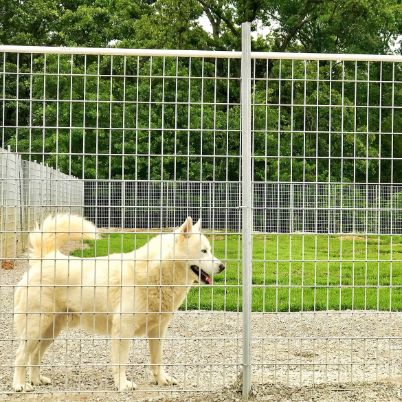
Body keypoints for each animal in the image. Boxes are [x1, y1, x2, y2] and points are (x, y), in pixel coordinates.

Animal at [12, 215, 225, 392]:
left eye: (210, 251)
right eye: (203, 251)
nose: (223, 266)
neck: (156, 274)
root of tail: (46, 258)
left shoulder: (157, 332)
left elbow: (157, 360)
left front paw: (161, 380)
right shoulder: (123, 331)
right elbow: (121, 362)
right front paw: (123, 385)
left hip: (50, 330)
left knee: (35, 355)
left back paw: (37, 380)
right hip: (35, 327)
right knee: (21, 356)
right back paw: (20, 385)